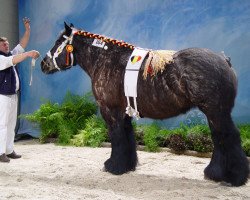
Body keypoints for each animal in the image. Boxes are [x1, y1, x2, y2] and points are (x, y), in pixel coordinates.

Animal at [40, 21, 249, 186]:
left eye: (58, 42)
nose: (43, 64)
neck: (106, 60)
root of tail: (223, 58)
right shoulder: (123, 112)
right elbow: (127, 137)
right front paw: (126, 166)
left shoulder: (110, 111)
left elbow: (116, 138)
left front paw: (113, 166)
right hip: (214, 114)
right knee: (219, 139)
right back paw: (214, 173)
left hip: (216, 112)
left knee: (228, 138)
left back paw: (235, 178)